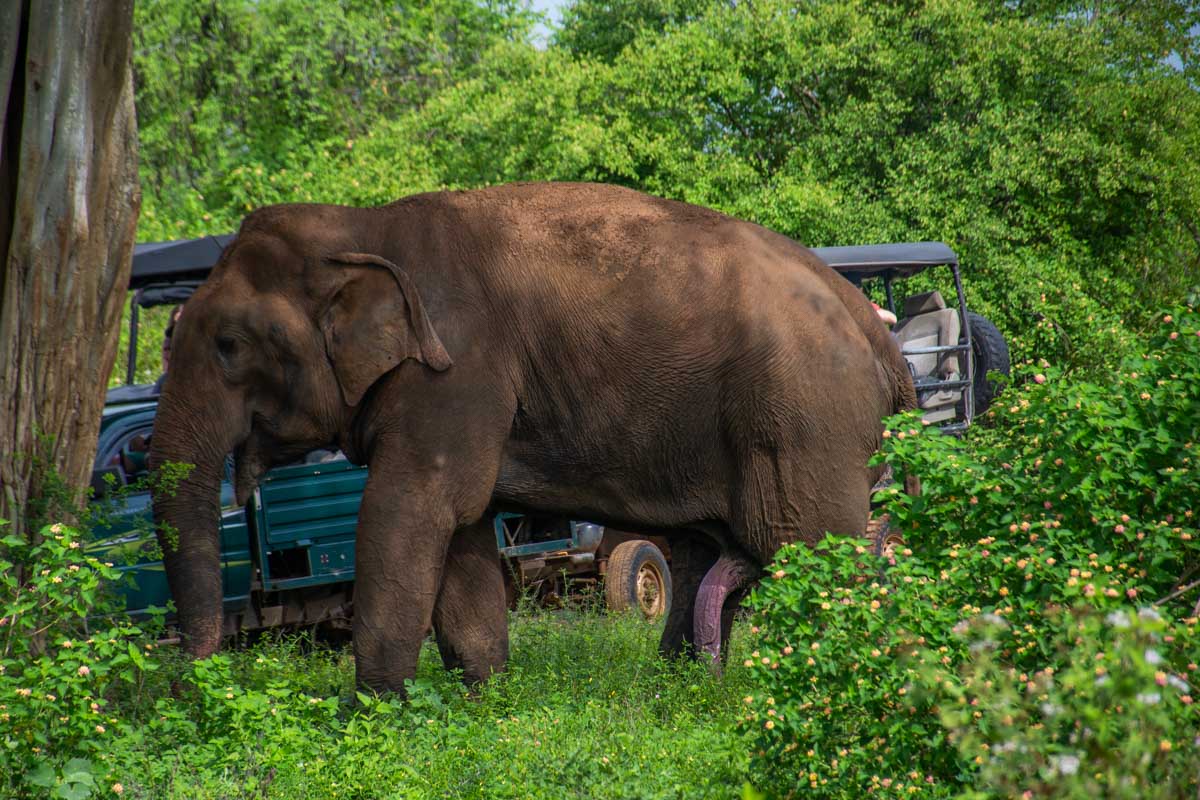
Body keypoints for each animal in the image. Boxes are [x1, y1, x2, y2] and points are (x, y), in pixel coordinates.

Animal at [149, 181, 917, 694]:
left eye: (228, 345)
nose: (196, 685)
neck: (362, 225)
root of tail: (876, 327)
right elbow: (459, 536)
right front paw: (484, 701)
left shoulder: (456, 374)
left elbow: (411, 511)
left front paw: (368, 717)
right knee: (707, 553)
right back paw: (683, 688)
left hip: (804, 423)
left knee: (811, 557)